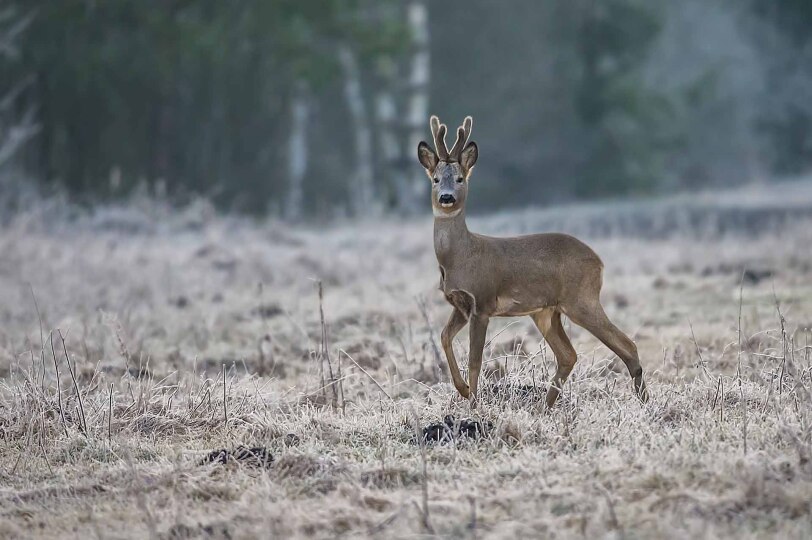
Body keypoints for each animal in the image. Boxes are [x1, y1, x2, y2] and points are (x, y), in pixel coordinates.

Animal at [416, 115, 649, 408]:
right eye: (435, 179)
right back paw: (543, 408)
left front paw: (474, 403)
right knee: (568, 354)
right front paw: (464, 390)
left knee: (627, 344)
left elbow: (475, 360)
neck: (460, 257)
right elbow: (444, 337)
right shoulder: (461, 305)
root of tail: (599, 262)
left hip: (581, 299)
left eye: (459, 178)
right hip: (546, 311)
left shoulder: (482, 301)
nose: (447, 197)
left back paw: (645, 401)